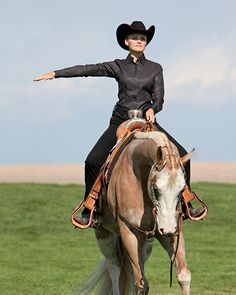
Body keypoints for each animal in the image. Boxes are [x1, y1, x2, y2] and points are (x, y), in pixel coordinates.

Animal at [76, 130, 193, 295]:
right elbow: (141, 284)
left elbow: (183, 275)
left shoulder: (173, 229)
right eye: (156, 188)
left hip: (145, 244)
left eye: (182, 189)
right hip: (105, 235)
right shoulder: (129, 231)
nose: (168, 229)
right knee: (114, 267)